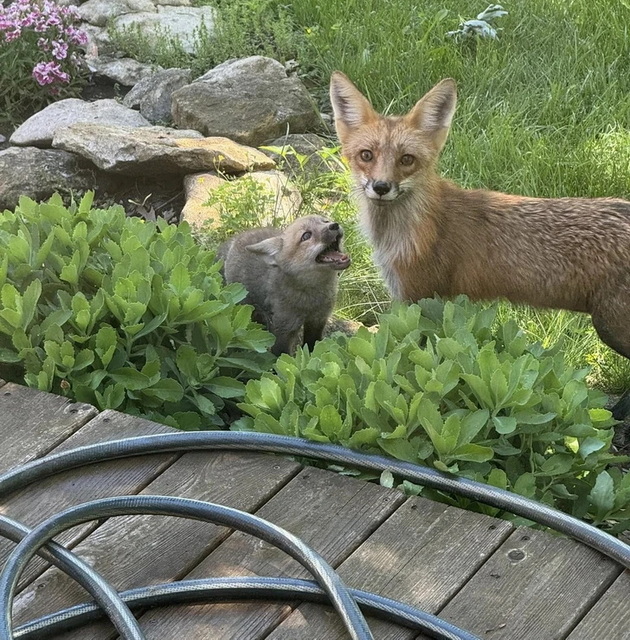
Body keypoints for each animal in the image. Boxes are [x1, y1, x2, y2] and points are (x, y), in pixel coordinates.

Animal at [330, 71, 630, 420]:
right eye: (367, 155)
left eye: (407, 160)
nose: (381, 186)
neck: (411, 228)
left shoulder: (419, 299)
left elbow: (414, 362)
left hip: (610, 326)